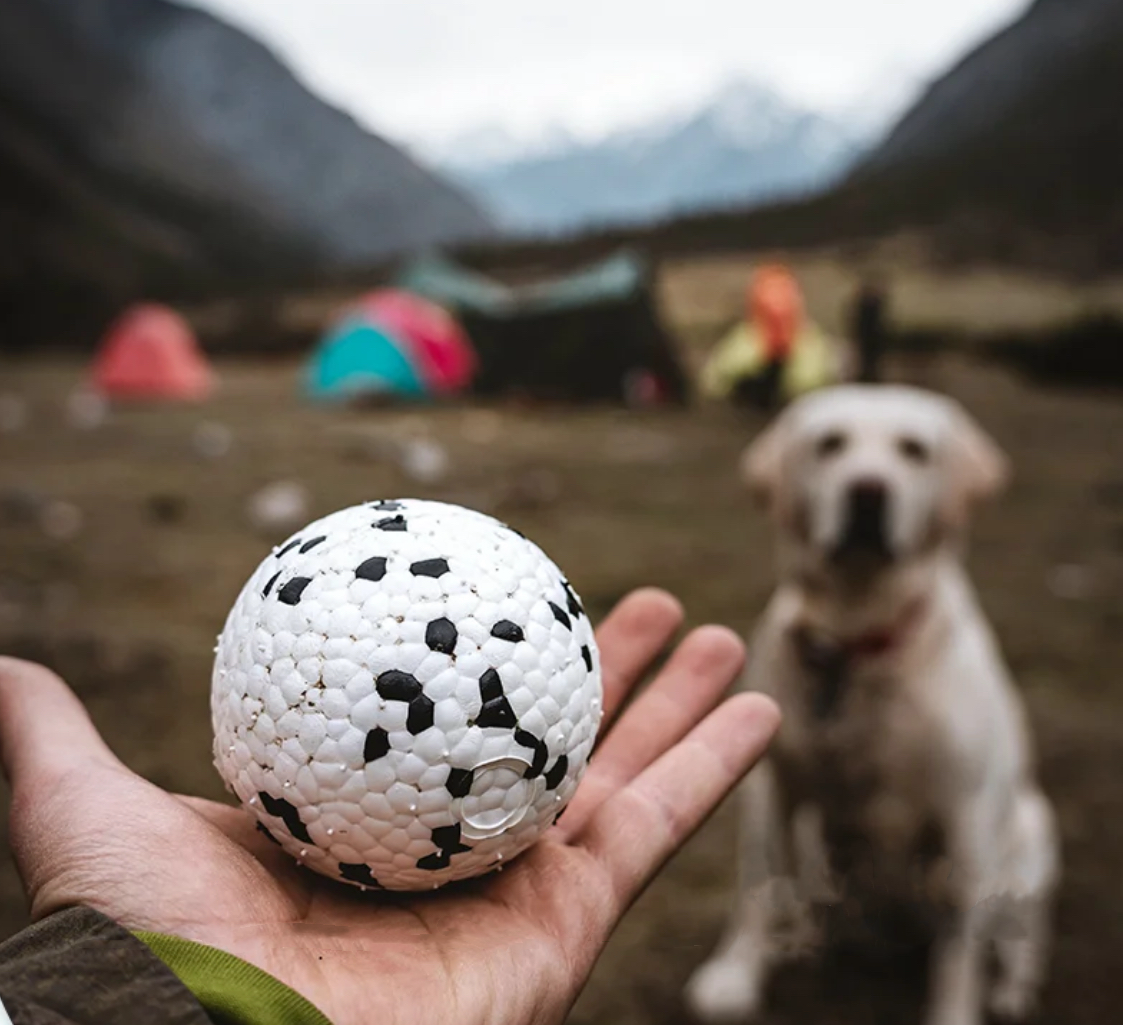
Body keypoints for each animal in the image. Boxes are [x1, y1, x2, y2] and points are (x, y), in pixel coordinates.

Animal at [682, 383, 1060, 1023]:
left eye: (914, 450)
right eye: (830, 443)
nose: (867, 491)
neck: (855, 639)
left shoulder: (965, 808)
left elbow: (960, 949)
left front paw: (954, 1013)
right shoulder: (770, 782)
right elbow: (756, 880)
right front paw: (736, 973)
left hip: (1030, 836)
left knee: (1013, 936)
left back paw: (1011, 988)